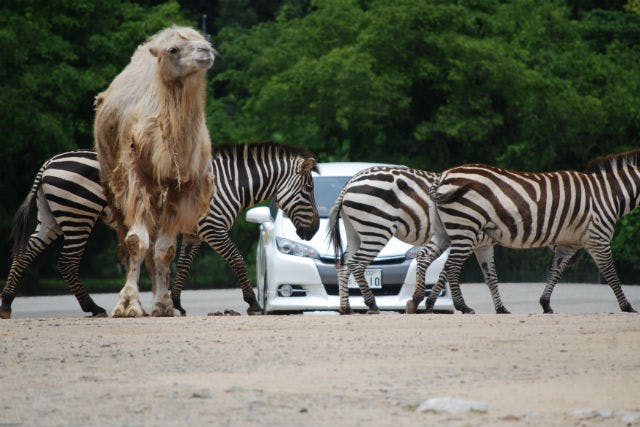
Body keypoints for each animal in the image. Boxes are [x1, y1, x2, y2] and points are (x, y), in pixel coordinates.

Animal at [1, 142, 318, 320]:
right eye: (309, 189)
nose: (314, 229)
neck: (226, 183)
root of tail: (49, 163)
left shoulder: (194, 232)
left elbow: (184, 267)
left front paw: (174, 303)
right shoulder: (213, 227)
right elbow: (237, 260)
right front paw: (252, 303)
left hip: (52, 218)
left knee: (25, 254)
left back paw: (6, 303)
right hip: (78, 214)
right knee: (66, 263)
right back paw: (93, 307)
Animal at [94, 25, 215, 316]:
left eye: (204, 40)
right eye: (173, 49)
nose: (206, 51)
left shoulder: (181, 185)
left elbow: (166, 249)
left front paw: (163, 304)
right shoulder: (136, 174)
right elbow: (136, 241)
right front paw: (128, 305)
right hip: (111, 181)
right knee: (124, 238)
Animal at [328, 166, 502, 316]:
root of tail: (350, 182)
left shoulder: (483, 245)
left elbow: (491, 277)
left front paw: (501, 309)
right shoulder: (467, 240)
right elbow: (448, 271)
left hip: (354, 230)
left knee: (344, 264)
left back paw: (346, 308)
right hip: (376, 229)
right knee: (356, 263)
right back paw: (372, 305)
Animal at [424, 150, 640, 314]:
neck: (608, 194)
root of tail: (443, 175)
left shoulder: (569, 243)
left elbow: (555, 271)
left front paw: (546, 304)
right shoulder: (598, 237)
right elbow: (611, 273)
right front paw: (627, 306)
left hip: (447, 230)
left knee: (431, 258)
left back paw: (426, 302)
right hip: (465, 226)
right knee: (452, 266)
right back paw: (463, 307)